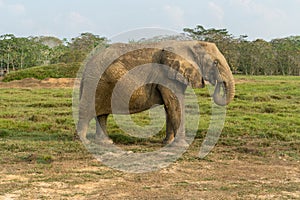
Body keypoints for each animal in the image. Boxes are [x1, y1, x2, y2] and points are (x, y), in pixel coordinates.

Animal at [75, 40, 234, 145]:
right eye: (215, 63)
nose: (218, 83)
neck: (188, 43)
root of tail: (86, 66)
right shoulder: (166, 76)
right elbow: (175, 105)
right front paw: (181, 145)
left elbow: (170, 107)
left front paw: (167, 143)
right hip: (94, 82)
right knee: (87, 111)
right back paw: (85, 142)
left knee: (101, 115)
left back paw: (106, 142)